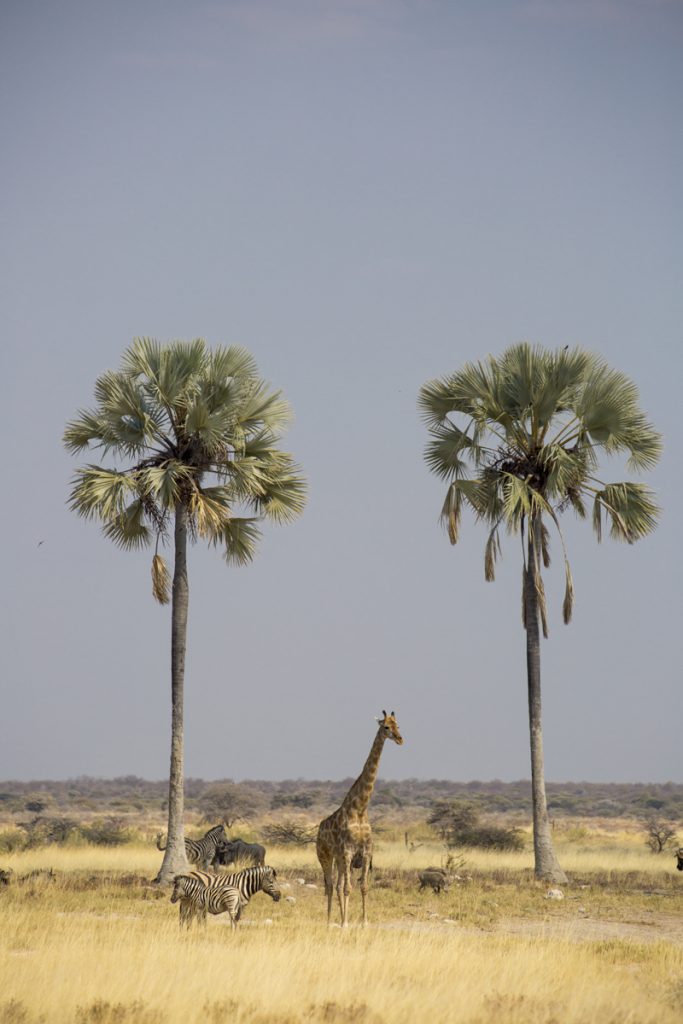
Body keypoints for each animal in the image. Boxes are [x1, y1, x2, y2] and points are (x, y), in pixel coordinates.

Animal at [317, 712, 403, 929]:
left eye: (398, 725)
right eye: (386, 727)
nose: (400, 739)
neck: (360, 808)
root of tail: (319, 828)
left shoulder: (366, 852)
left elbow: (363, 887)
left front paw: (363, 922)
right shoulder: (348, 851)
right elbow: (348, 888)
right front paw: (345, 923)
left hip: (339, 860)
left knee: (338, 885)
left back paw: (338, 918)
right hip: (325, 855)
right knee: (330, 885)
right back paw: (329, 921)